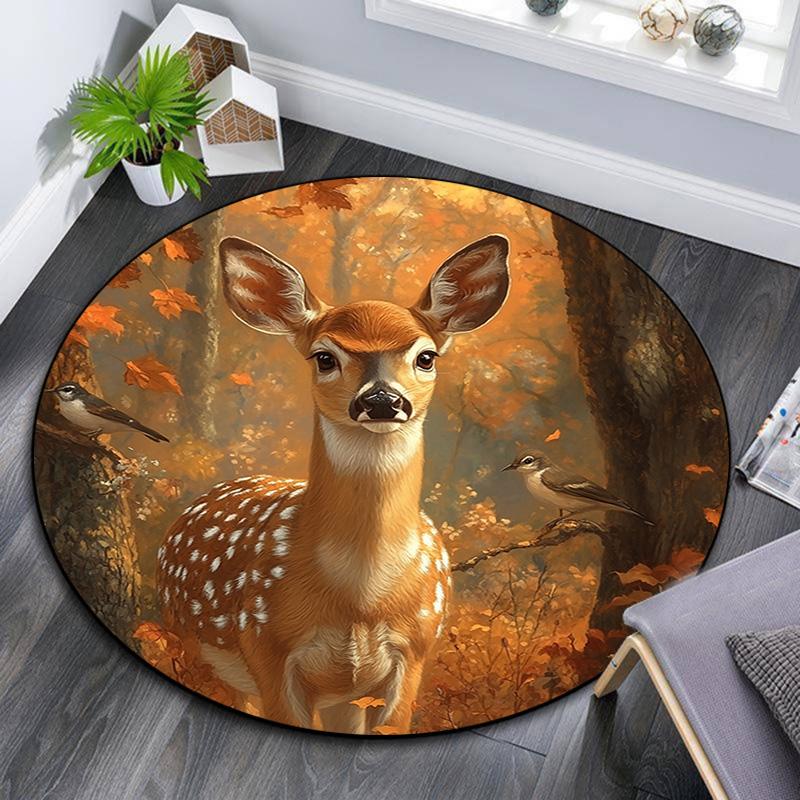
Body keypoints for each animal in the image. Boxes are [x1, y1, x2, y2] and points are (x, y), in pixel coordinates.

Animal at [156, 233, 510, 734]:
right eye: (324, 357)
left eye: (426, 356)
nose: (382, 400)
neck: (359, 595)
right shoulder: (265, 646)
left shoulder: (414, 653)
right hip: (184, 639)